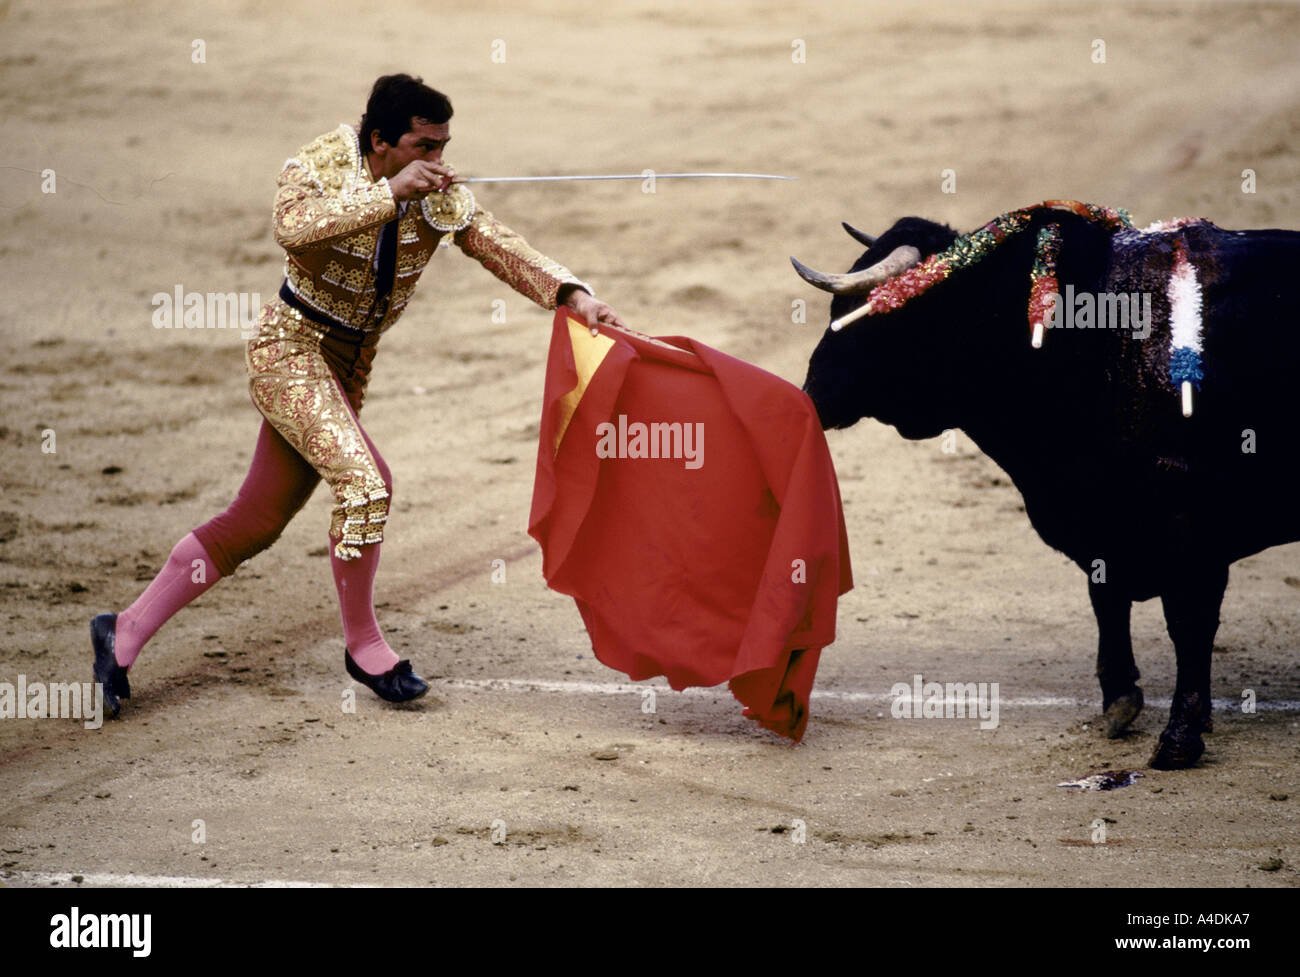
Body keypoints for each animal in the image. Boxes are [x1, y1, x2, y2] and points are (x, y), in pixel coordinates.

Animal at [795, 211, 1300, 769]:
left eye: (870, 314)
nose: (810, 393)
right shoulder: (1102, 516)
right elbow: (1106, 596)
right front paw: (1122, 701)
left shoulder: (1188, 521)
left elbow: (1188, 620)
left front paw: (1179, 737)